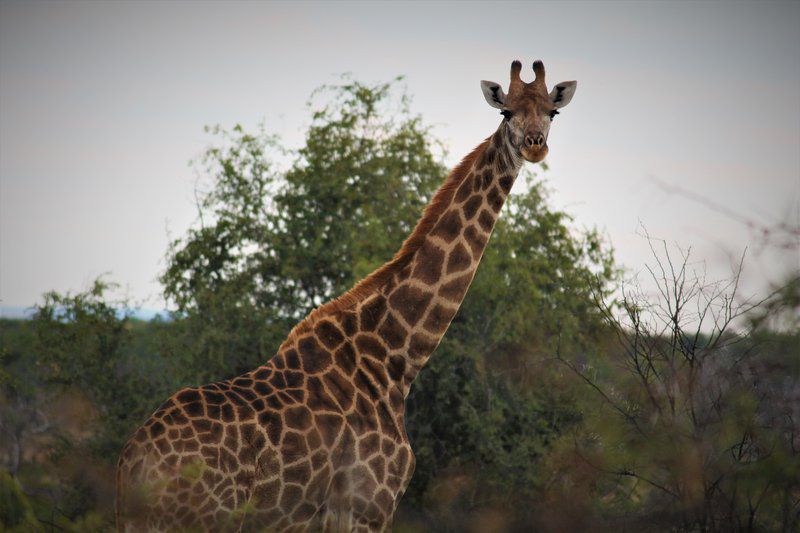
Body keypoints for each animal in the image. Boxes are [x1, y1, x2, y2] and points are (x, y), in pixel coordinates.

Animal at [117, 59, 576, 532]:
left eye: (552, 112)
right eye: (506, 112)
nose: (535, 146)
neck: (394, 359)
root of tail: (133, 466)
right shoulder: (367, 506)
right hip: (204, 520)